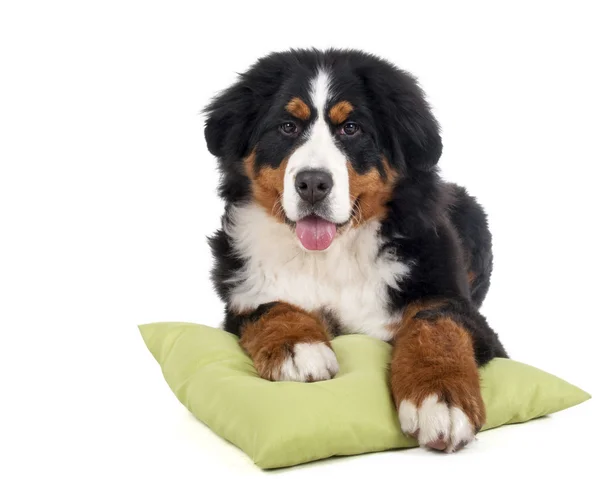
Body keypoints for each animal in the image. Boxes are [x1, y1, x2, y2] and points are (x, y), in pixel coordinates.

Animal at [205, 48, 506, 454]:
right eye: (288, 127)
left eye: (351, 128)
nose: (312, 183)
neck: (331, 257)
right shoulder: (241, 295)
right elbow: (267, 307)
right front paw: (298, 347)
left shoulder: (458, 306)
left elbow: (437, 323)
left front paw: (440, 396)